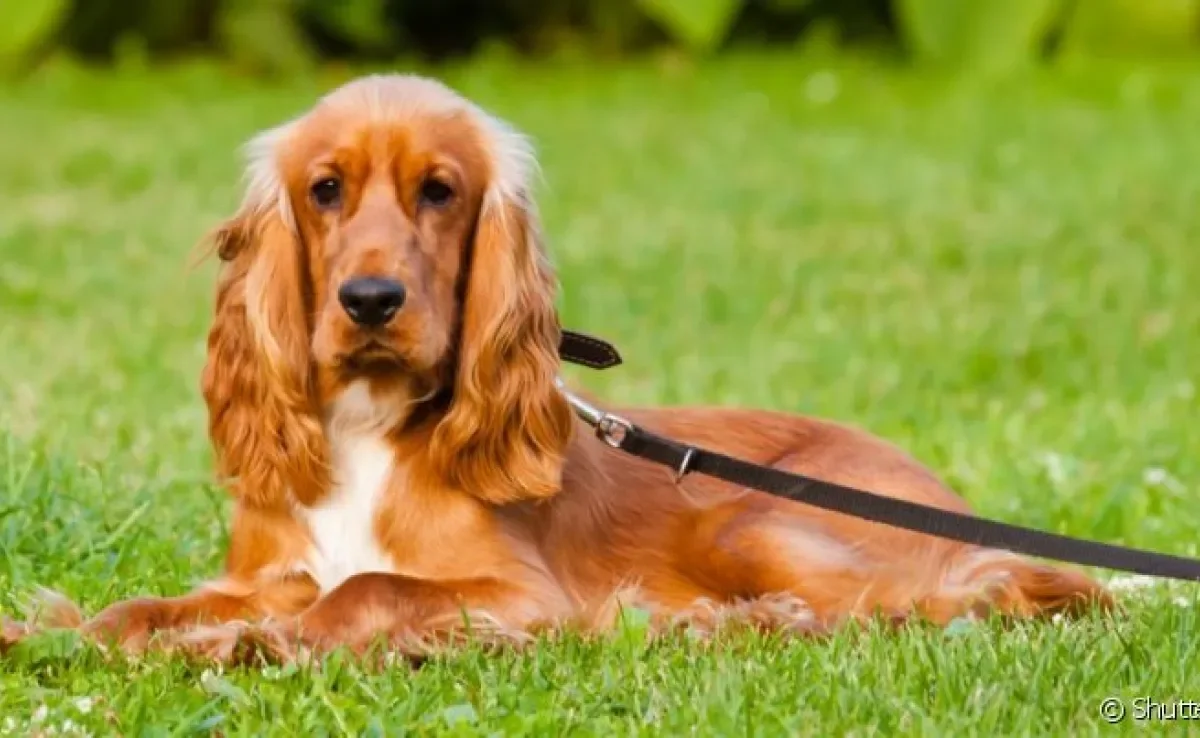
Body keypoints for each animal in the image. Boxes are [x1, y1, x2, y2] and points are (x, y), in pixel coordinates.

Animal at [0, 75, 1108, 662]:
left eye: (439, 190)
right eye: (324, 189)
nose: (371, 302)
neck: (367, 426)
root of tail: (954, 501)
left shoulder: (522, 593)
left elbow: (362, 593)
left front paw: (259, 646)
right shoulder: (266, 571)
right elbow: (143, 609)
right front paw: (54, 635)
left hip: (752, 519)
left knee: (938, 600)